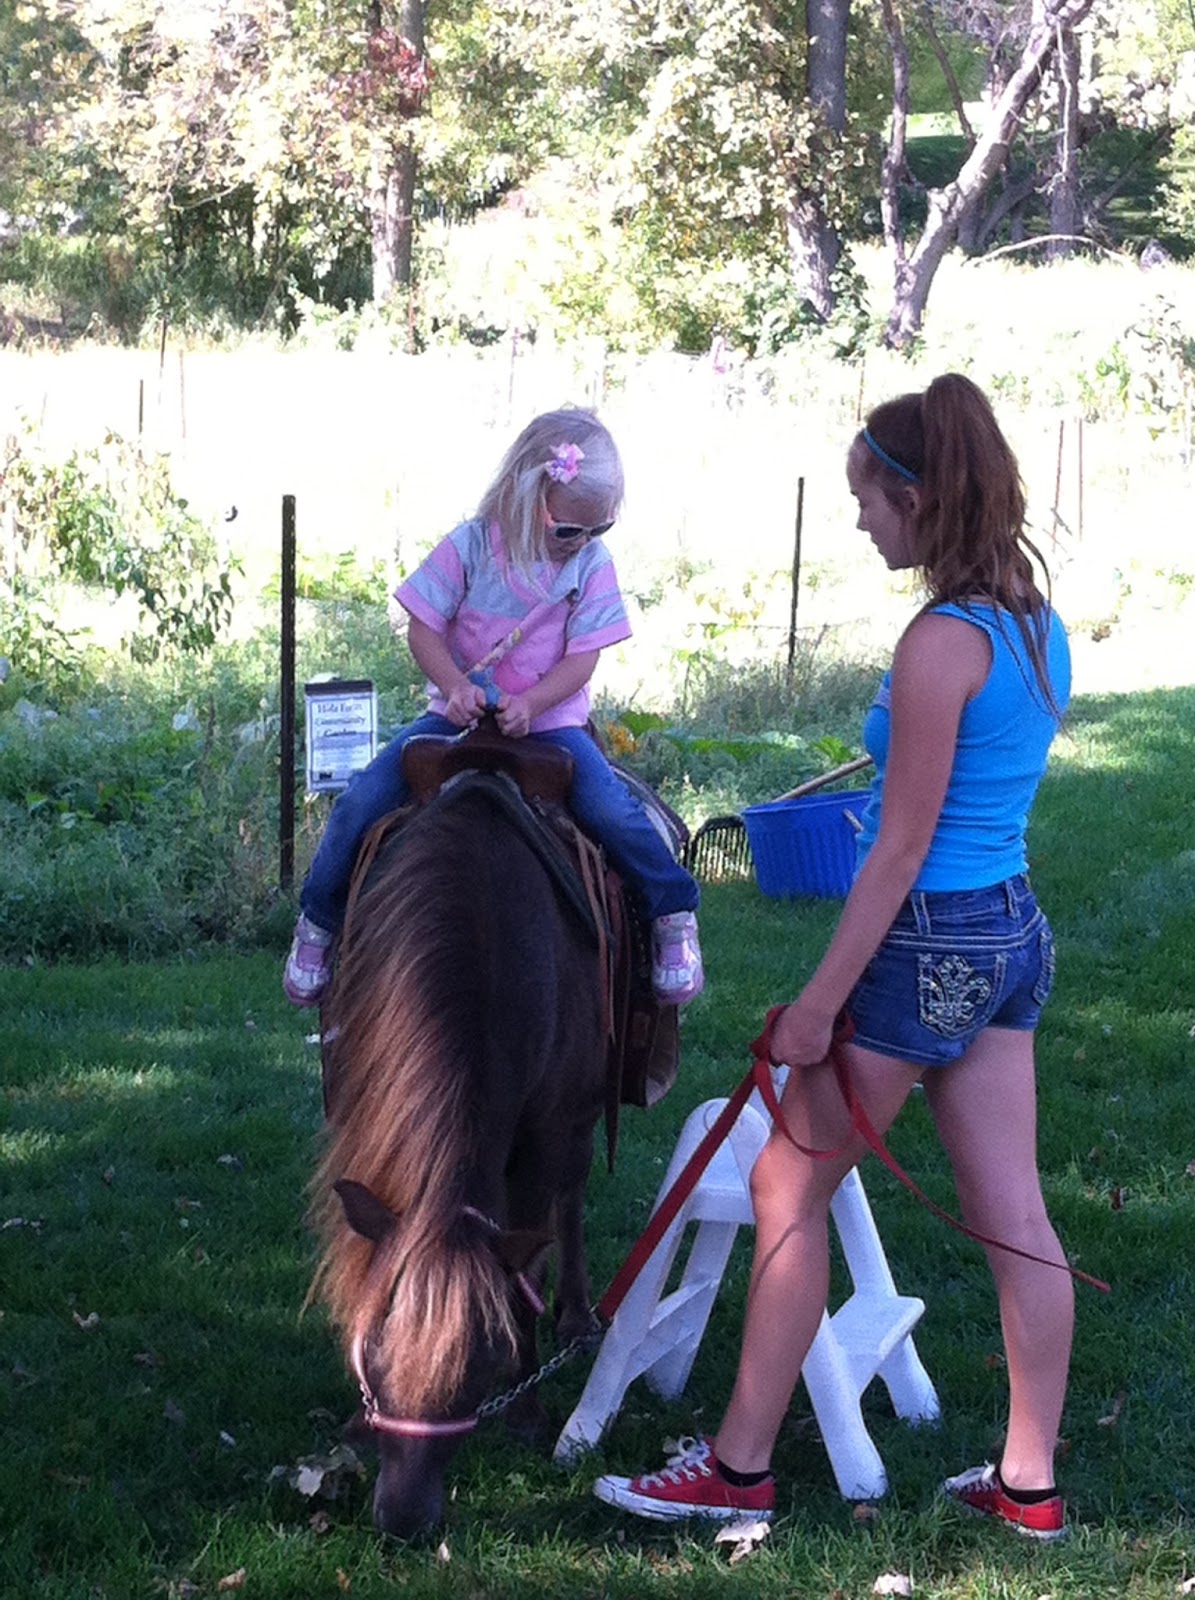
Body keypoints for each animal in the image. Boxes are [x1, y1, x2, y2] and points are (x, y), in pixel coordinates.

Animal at [307, 754, 609, 1538]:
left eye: (479, 1366)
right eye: (375, 1354)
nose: (404, 1521)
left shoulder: (543, 1128)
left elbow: (523, 1265)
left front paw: (527, 1410)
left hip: (579, 1115)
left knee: (571, 1196)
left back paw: (576, 1313)